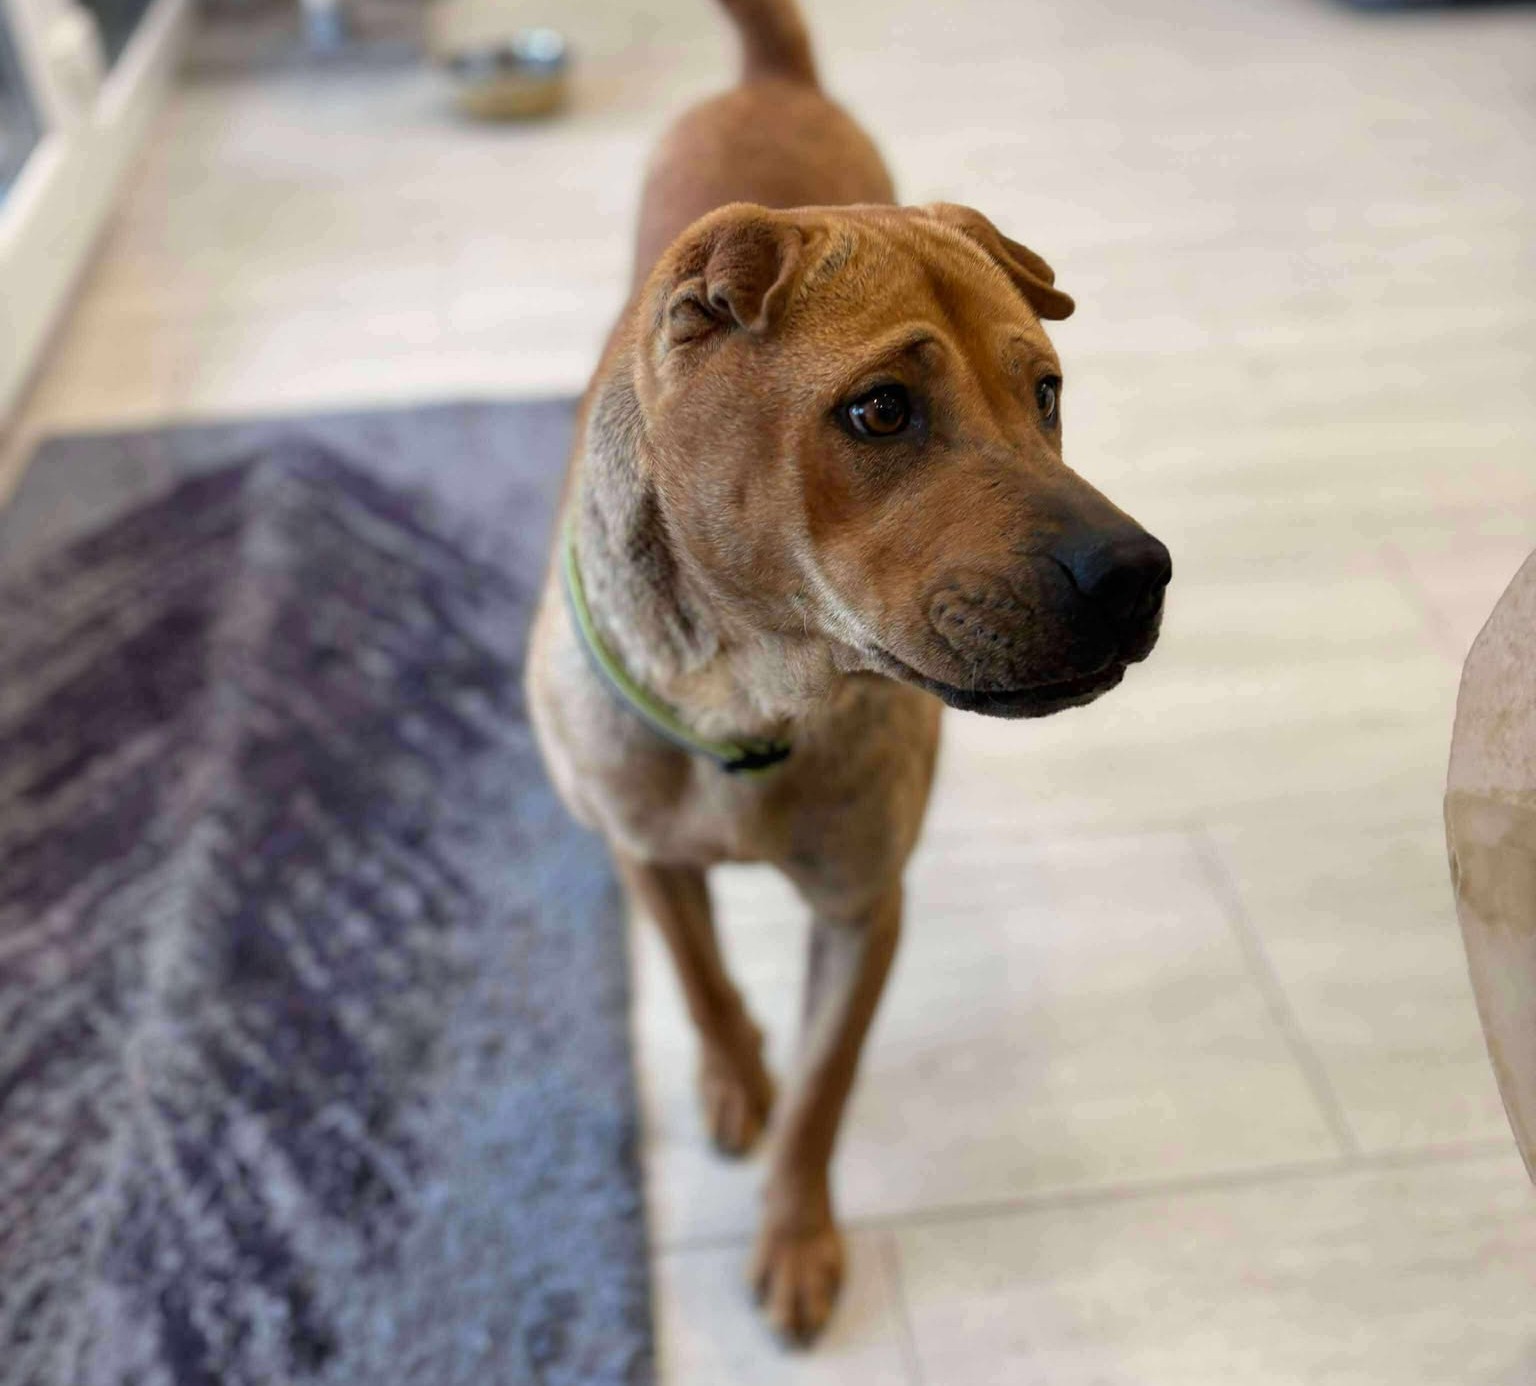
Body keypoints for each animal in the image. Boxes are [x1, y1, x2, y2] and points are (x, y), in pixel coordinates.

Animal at [526, 0, 1171, 1344]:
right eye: (879, 412)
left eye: (1048, 394)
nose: (1140, 574)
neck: (753, 694)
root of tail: (768, 78)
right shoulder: (641, 850)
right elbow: (698, 979)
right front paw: (735, 1074)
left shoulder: (861, 906)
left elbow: (824, 1099)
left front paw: (795, 1234)